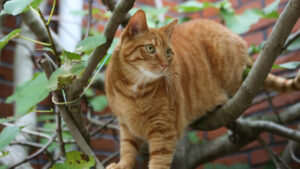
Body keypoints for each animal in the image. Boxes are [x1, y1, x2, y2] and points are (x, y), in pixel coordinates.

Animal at [105, 9, 300, 168]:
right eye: (150, 48)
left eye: (168, 52)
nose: (165, 65)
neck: (133, 88)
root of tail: (238, 39)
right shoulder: (125, 125)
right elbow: (127, 149)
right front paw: (122, 165)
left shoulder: (163, 129)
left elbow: (159, 159)